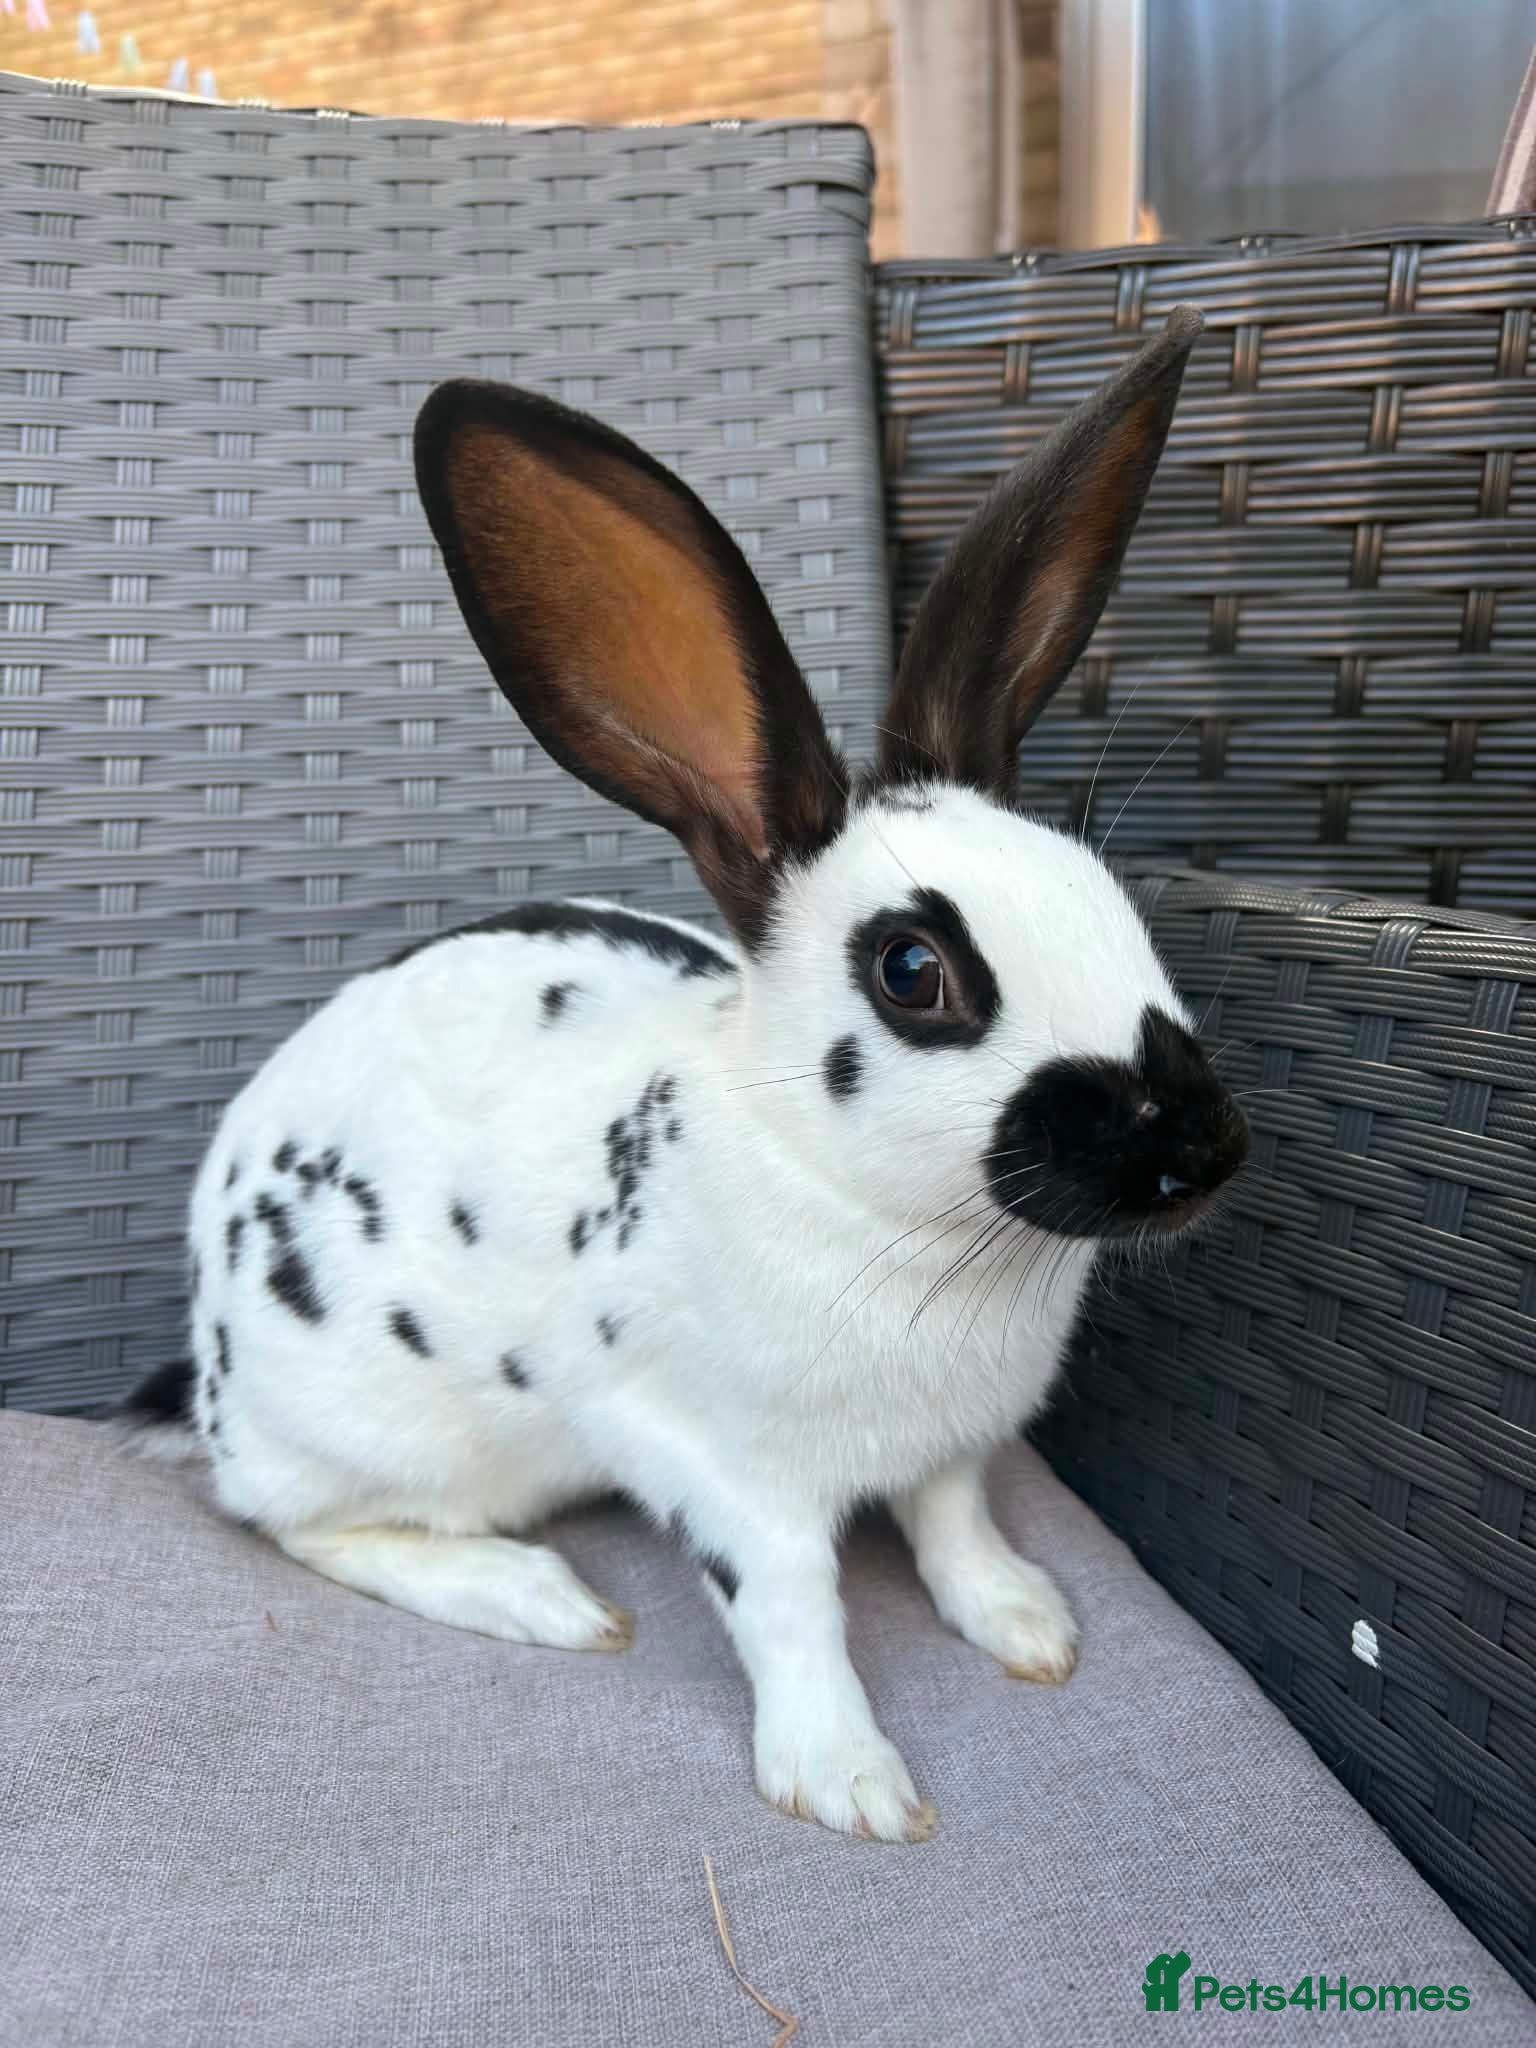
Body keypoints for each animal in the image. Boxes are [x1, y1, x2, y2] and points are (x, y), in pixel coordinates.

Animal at [121, 302, 1247, 1843]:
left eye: (1111, 901)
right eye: (914, 972)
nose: (1200, 1149)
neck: (888, 1220)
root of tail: (212, 1359)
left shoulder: (956, 1448)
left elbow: (955, 1523)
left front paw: (1028, 1625)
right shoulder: (721, 1473)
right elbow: (794, 1610)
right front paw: (849, 1784)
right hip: (372, 1433)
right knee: (296, 1523)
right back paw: (538, 1598)